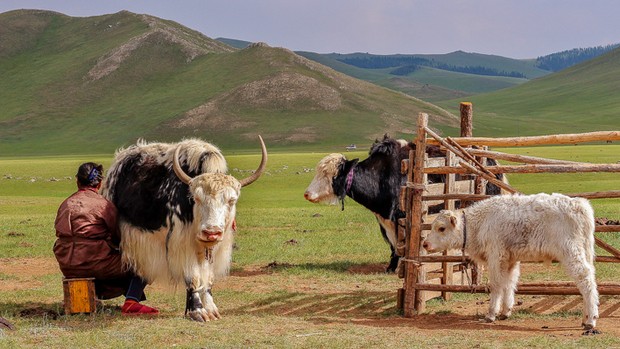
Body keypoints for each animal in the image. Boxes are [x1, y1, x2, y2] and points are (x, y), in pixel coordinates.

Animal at [424, 193, 600, 328]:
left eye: (441, 228)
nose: (425, 244)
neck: (481, 222)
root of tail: (579, 204)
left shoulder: (496, 257)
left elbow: (496, 285)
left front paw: (491, 314)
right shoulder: (510, 260)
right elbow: (508, 283)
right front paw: (505, 312)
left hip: (572, 254)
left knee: (586, 280)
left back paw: (591, 320)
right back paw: (585, 318)